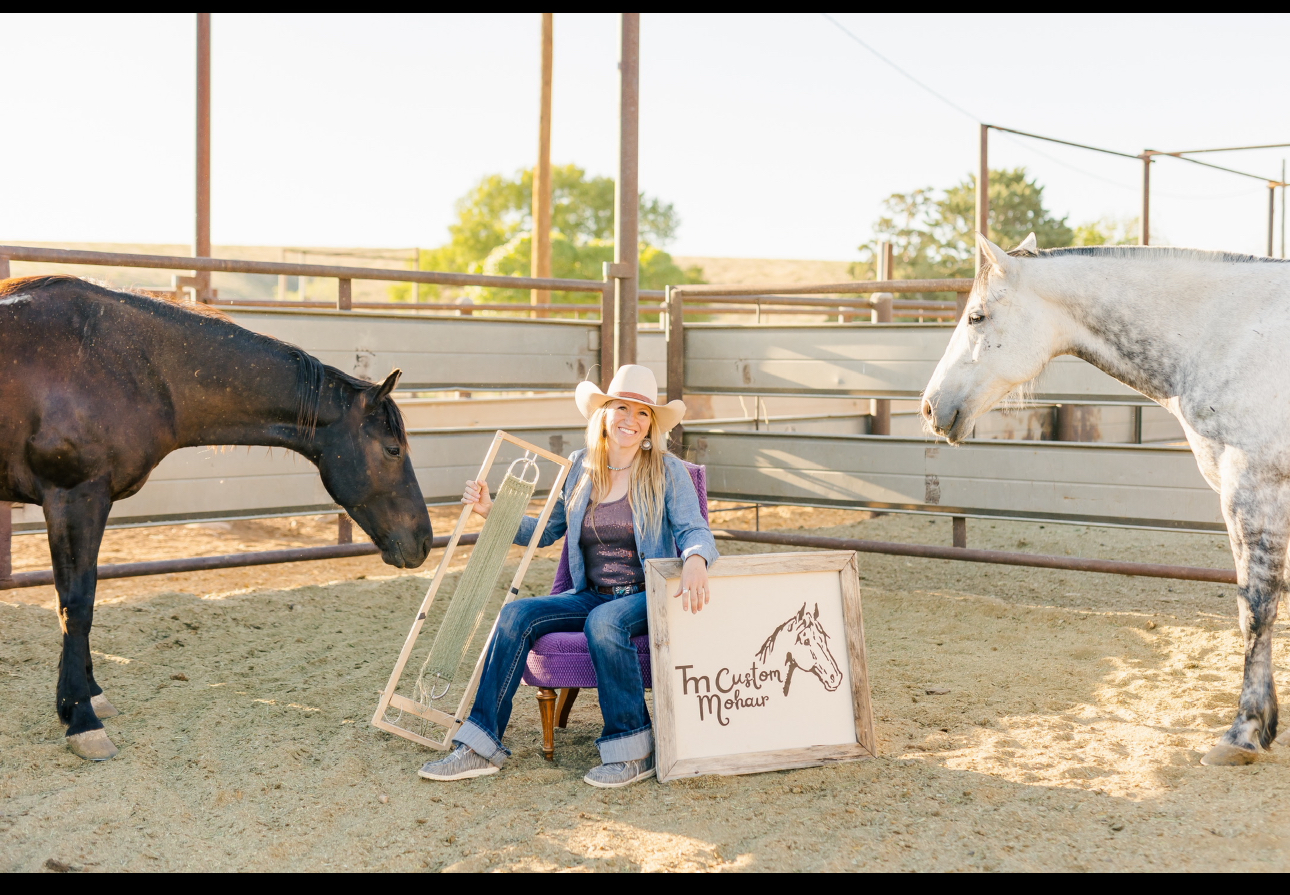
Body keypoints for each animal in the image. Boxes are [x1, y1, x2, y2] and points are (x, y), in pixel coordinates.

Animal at [0, 276, 434, 761]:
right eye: (392, 449)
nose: (424, 540)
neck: (121, 362)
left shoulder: (89, 504)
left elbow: (84, 595)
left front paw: (89, 695)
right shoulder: (73, 497)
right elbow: (75, 605)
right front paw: (81, 719)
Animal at [922, 234, 1290, 766]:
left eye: (976, 316)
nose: (930, 407)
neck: (1234, 334)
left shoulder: (1253, 491)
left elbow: (1256, 609)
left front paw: (1244, 731)